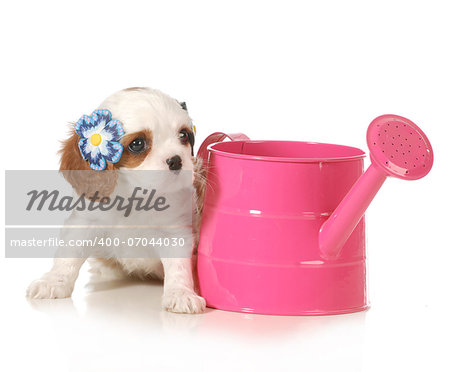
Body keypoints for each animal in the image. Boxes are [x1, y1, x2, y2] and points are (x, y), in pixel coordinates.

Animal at [26, 88, 206, 314]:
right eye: (138, 144)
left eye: (183, 135)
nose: (176, 160)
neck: (136, 196)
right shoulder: (85, 222)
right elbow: (68, 256)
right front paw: (53, 282)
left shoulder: (175, 233)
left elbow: (179, 267)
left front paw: (181, 294)